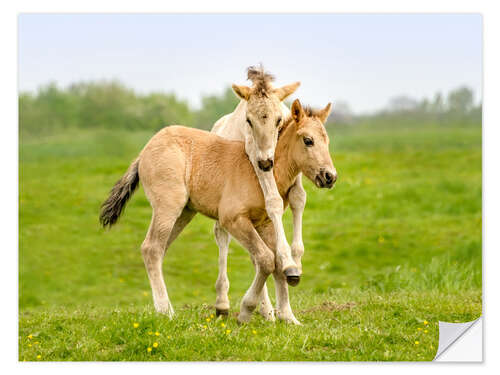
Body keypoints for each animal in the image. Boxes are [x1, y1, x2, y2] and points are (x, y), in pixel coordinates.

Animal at [98, 100, 336, 326]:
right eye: (308, 140)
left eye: (327, 141)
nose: (330, 176)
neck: (262, 172)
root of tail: (144, 151)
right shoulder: (233, 219)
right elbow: (266, 259)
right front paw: (245, 312)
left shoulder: (265, 223)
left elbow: (277, 262)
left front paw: (288, 317)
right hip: (168, 206)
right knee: (152, 248)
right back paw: (167, 311)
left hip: (184, 212)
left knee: (157, 249)